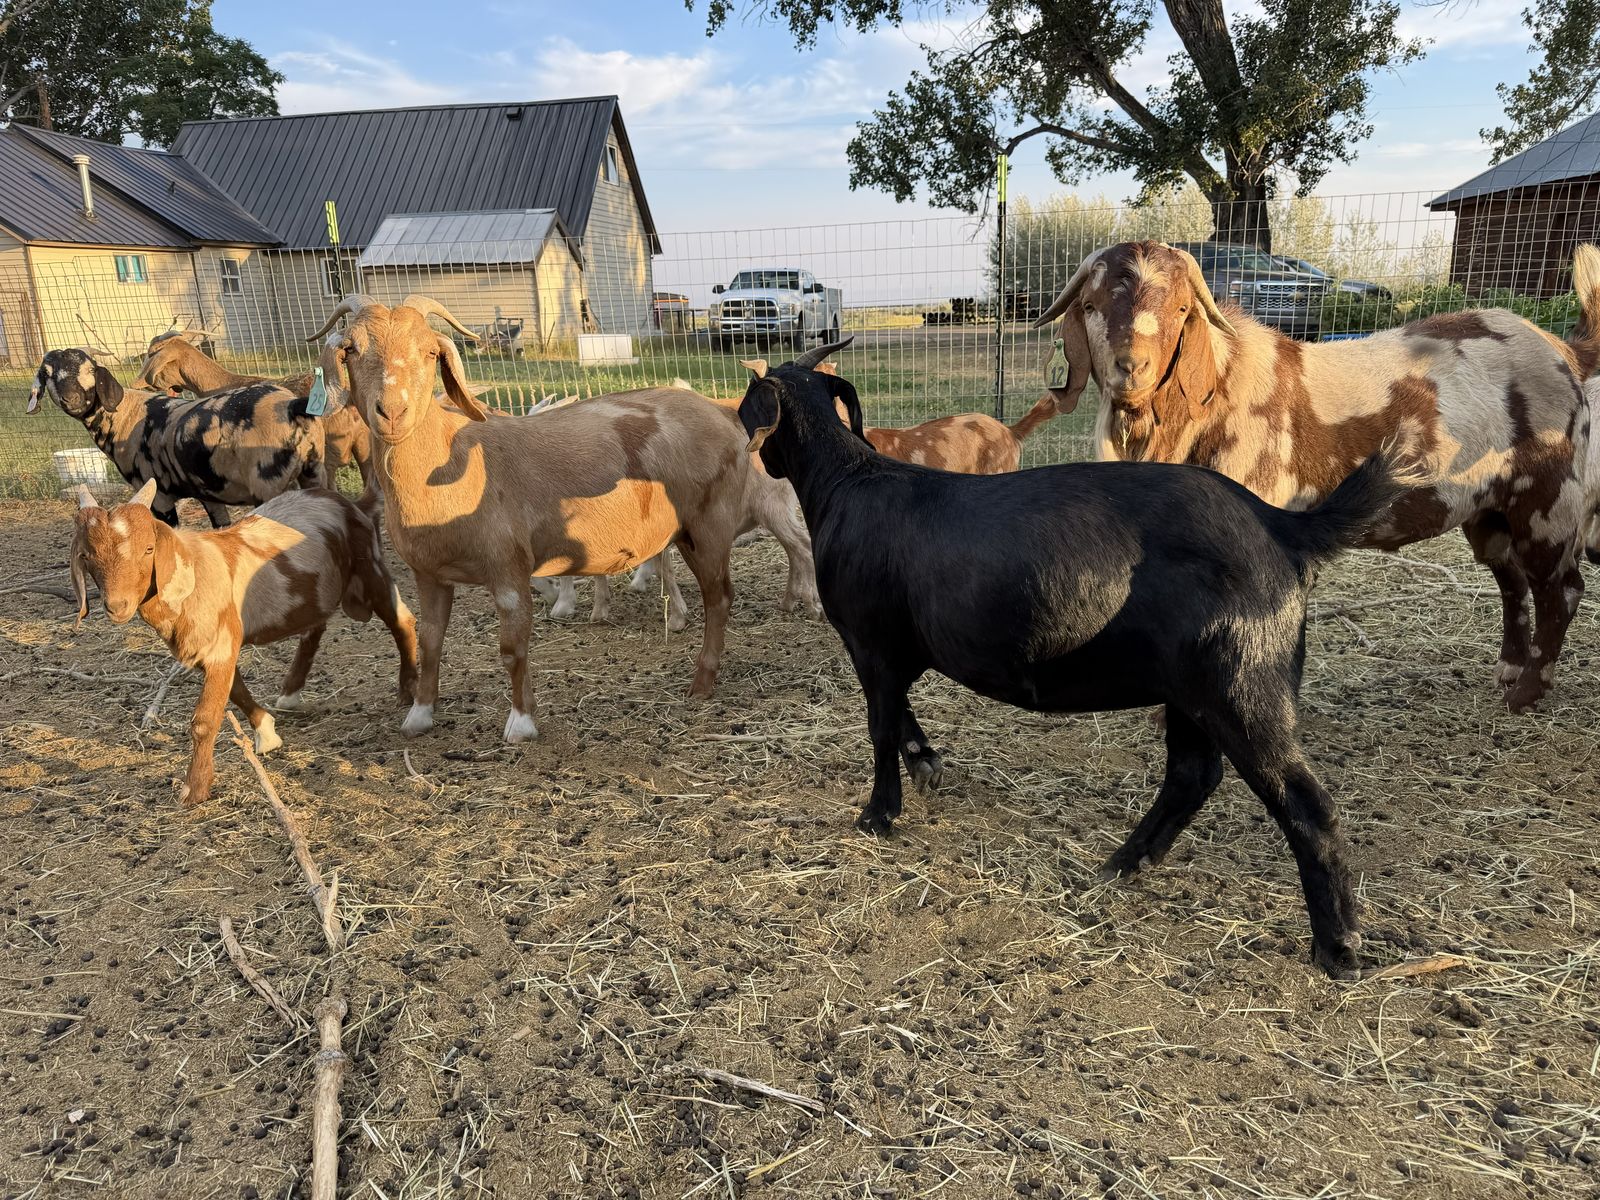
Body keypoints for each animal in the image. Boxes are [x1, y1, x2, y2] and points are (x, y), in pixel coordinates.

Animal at [30, 348, 325, 528]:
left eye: (90, 370)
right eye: (47, 374)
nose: (71, 399)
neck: (126, 414)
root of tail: (292, 406)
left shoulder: (158, 495)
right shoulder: (208, 493)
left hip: (269, 485)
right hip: (313, 472)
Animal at [70, 480, 419, 805]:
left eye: (148, 549)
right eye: (86, 555)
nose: (117, 606)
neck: (194, 571)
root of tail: (354, 504)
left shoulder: (220, 643)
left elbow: (205, 719)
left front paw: (194, 789)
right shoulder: (211, 647)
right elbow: (236, 690)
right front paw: (267, 732)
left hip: (370, 567)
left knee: (403, 621)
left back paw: (407, 691)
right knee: (314, 627)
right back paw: (290, 692)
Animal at [305, 293, 760, 742]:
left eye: (431, 351)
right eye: (351, 349)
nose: (392, 412)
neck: (445, 461)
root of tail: (725, 413)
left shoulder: (507, 566)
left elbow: (512, 647)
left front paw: (521, 723)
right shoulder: (429, 574)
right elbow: (430, 640)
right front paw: (419, 714)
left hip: (710, 525)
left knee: (719, 597)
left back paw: (702, 683)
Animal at [737, 338, 1412, 978]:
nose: (760, 459)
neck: (848, 481)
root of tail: (1280, 528)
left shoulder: (871, 642)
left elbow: (880, 724)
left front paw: (878, 814)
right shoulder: (894, 649)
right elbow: (900, 712)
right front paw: (925, 760)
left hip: (1240, 683)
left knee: (1305, 804)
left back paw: (1337, 946)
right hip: (1193, 688)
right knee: (1193, 775)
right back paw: (1124, 863)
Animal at [1032, 240, 1600, 712]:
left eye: (1180, 309)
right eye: (1091, 306)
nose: (1132, 368)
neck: (1217, 392)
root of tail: (1565, 353)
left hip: (1548, 499)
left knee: (1562, 588)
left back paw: (1527, 694)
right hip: (1488, 509)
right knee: (1512, 581)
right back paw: (1508, 671)